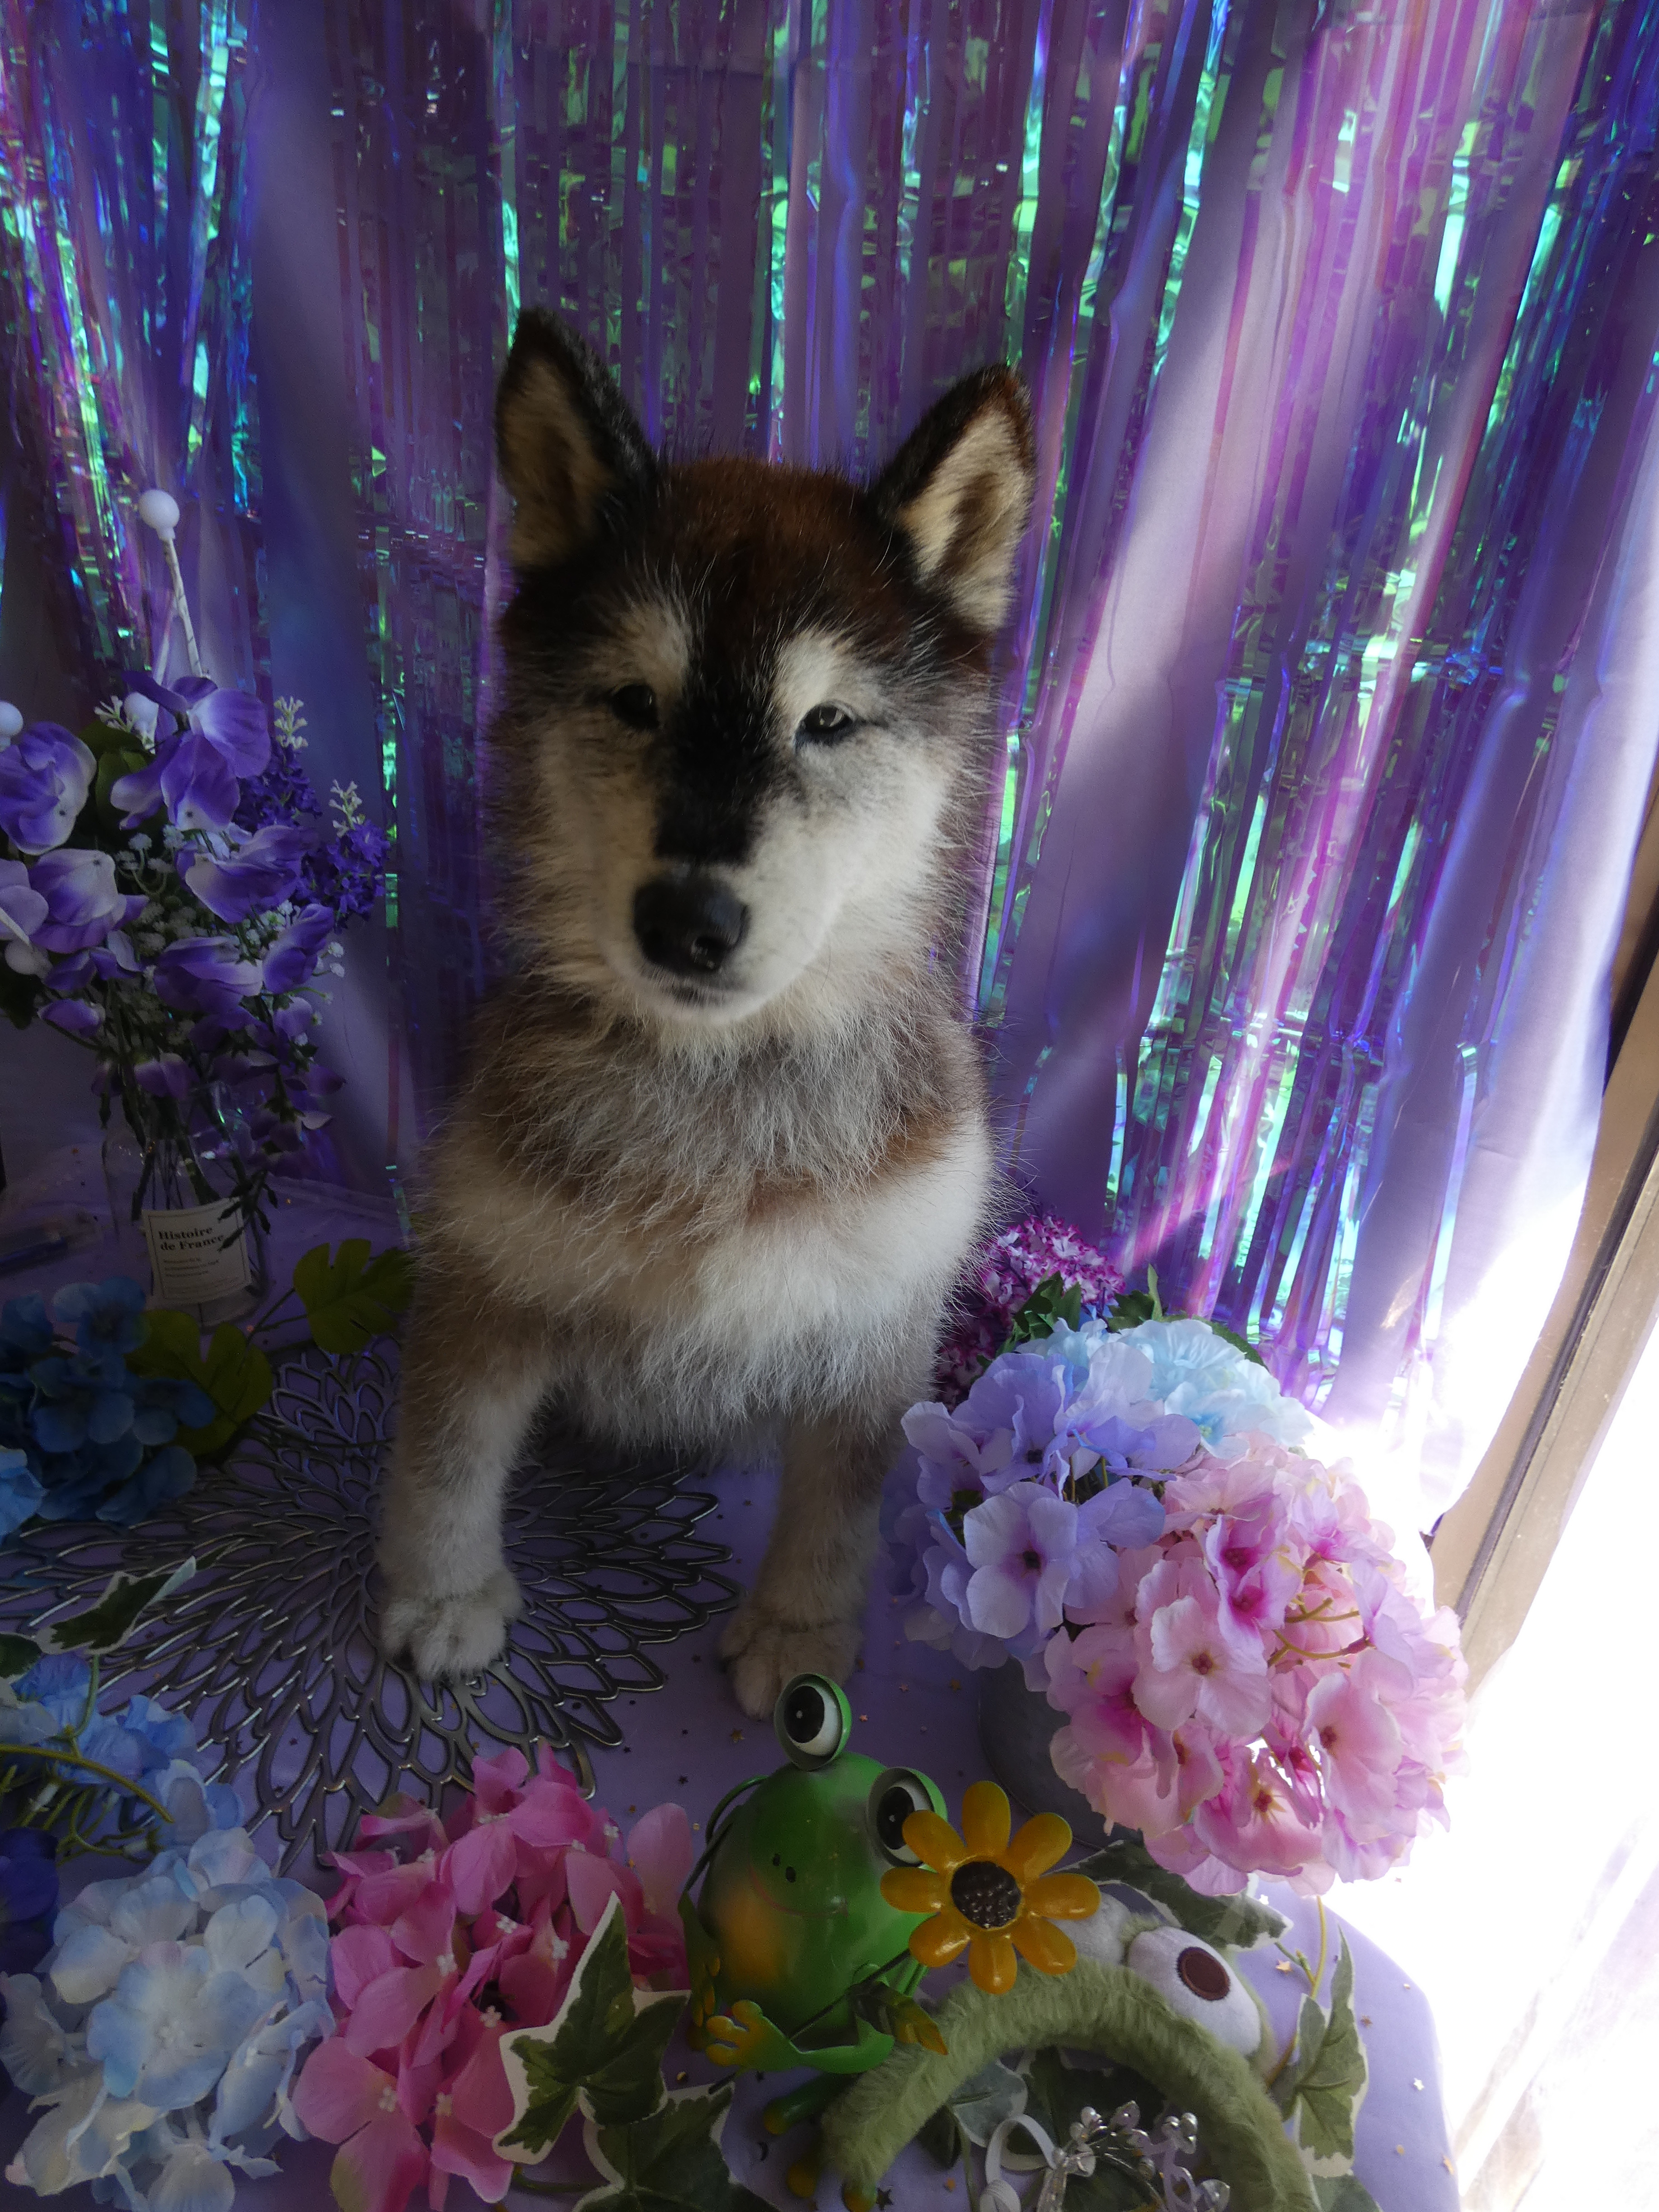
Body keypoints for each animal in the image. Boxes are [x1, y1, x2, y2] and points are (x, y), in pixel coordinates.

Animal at [377, 309, 1035, 1718]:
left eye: (827, 722)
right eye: (636, 701)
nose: (688, 920)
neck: (715, 1085)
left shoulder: (878, 1319)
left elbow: (840, 1502)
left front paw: (799, 1625)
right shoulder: (486, 1267)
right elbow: (445, 1450)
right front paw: (442, 1591)